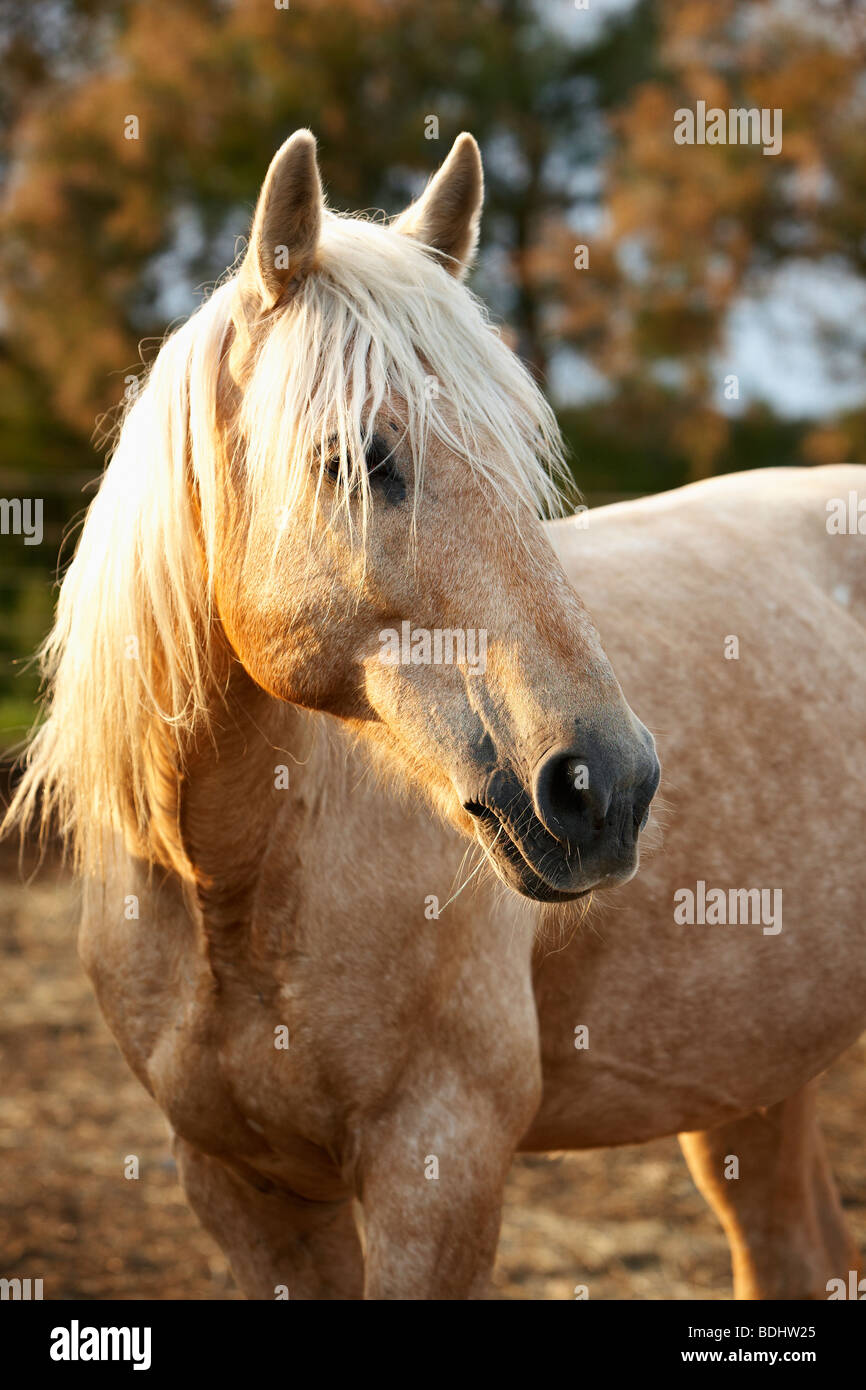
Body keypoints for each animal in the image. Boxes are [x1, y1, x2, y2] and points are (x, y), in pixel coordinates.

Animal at [8, 132, 866, 1301]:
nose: (606, 787)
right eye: (354, 459)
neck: (236, 891)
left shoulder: (440, 1168)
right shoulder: (240, 1188)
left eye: (516, 457)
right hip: (750, 1081)